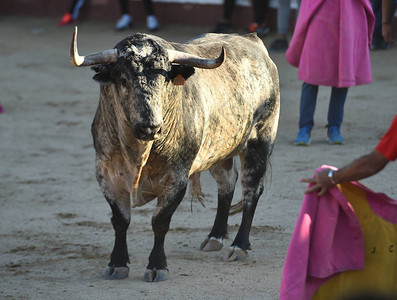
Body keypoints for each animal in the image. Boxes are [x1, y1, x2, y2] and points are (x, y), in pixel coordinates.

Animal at [69, 27, 278, 282]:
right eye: (123, 79)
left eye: (164, 79)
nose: (150, 126)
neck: (138, 154)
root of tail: (252, 41)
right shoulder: (106, 175)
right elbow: (120, 221)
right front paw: (117, 263)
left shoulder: (177, 178)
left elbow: (160, 221)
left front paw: (157, 266)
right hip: (221, 148)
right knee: (227, 183)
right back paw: (215, 237)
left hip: (260, 139)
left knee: (251, 190)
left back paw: (239, 246)